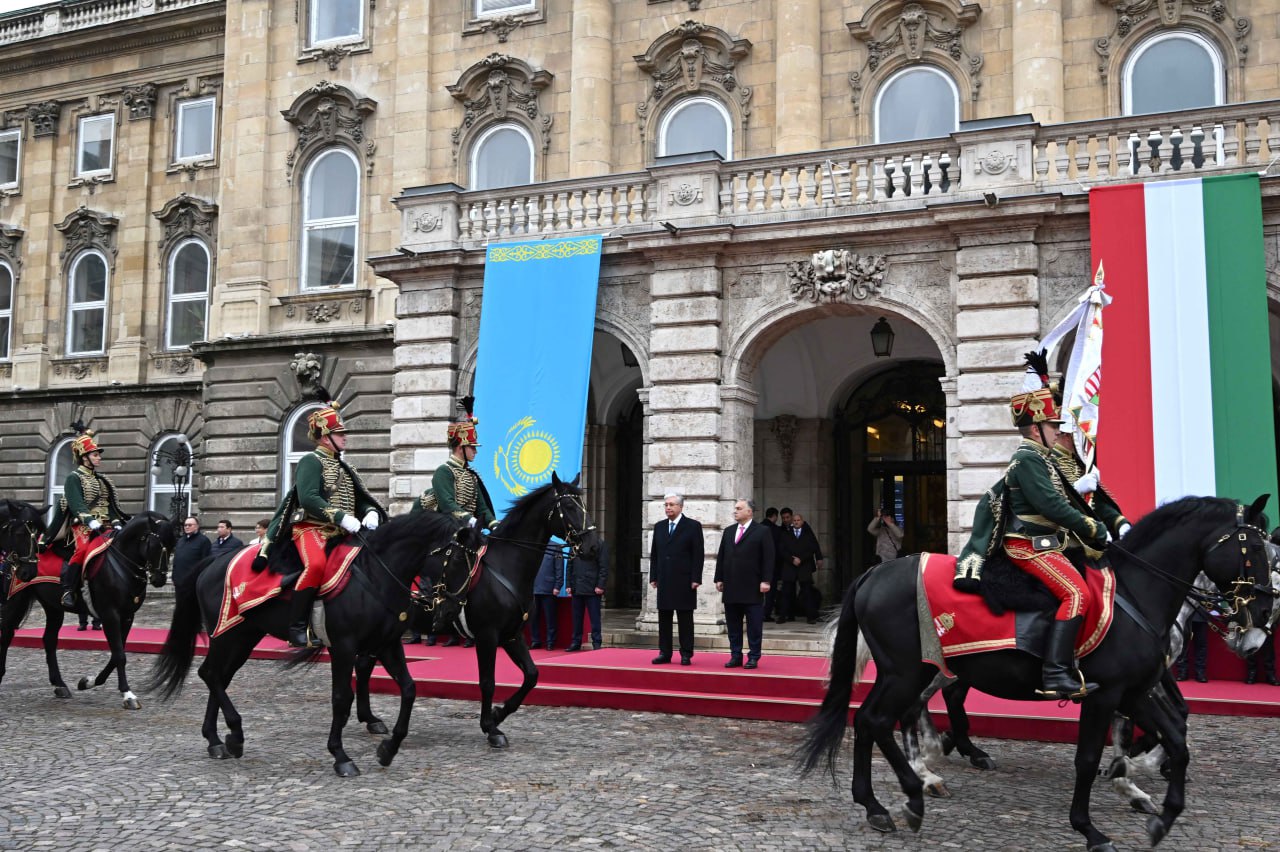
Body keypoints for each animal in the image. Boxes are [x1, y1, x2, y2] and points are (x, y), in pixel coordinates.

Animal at [0, 504, 172, 701]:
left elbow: (117, 653)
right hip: (16, 599)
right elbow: (119, 654)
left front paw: (89, 681)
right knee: (6, 634)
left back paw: (59, 684)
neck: (122, 562)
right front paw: (127, 694)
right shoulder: (110, 614)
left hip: (53, 607)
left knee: (49, 639)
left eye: (173, 544)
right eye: (156, 545)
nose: (160, 579)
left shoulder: (127, 616)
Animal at [145, 506, 481, 772]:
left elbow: (409, 690)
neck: (376, 575)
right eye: (457, 559)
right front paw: (341, 755)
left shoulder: (387, 644)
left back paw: (216, 740)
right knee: (210, 673)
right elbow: (341, 698)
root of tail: (213, 563)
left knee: (218, 677)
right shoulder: (344, 647)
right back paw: (234, 734)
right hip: (226, 633)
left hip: (244, 637)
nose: (452, 609)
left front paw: (388, 748)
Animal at [430, 470, 604, 741]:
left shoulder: (512, 634)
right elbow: (488, 681)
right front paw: (490, 727)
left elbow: (532, 675)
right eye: (568, 506)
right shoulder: (487, 635)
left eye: (584, 504)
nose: (593, 546)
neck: (506, 567)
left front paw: (498, 714)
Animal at [793, 493, 1274, 844]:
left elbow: (1176, 737)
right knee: (881, 718)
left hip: (913, 672)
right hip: (908, 671)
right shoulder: (1104, 694)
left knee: (871, 719)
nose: (1261, 619)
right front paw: (1091, 826)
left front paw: (1158, 809)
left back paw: (882, 803)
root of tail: (873, 574)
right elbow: (1088, 758)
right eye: (1255, 548)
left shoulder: (1136, 690)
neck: (1136, 596)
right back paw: (915, 790)